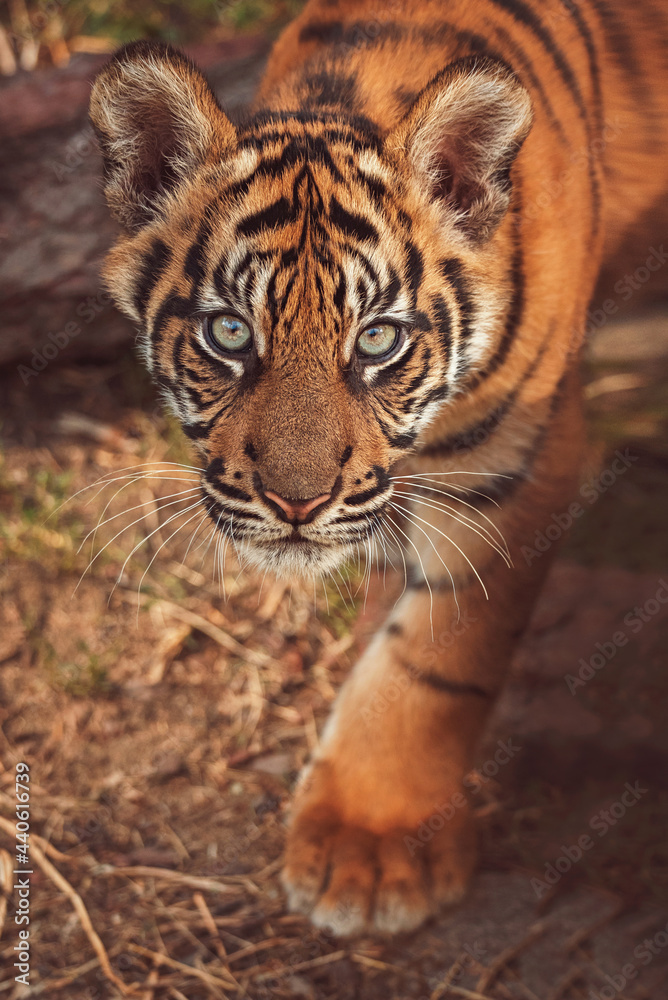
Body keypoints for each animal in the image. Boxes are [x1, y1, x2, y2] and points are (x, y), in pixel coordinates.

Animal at [89, 0, 668, 936]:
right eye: (229, 332)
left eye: (377, 340)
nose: (296, 503)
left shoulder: (517, 466)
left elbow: (434, 661)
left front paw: (370, 843)